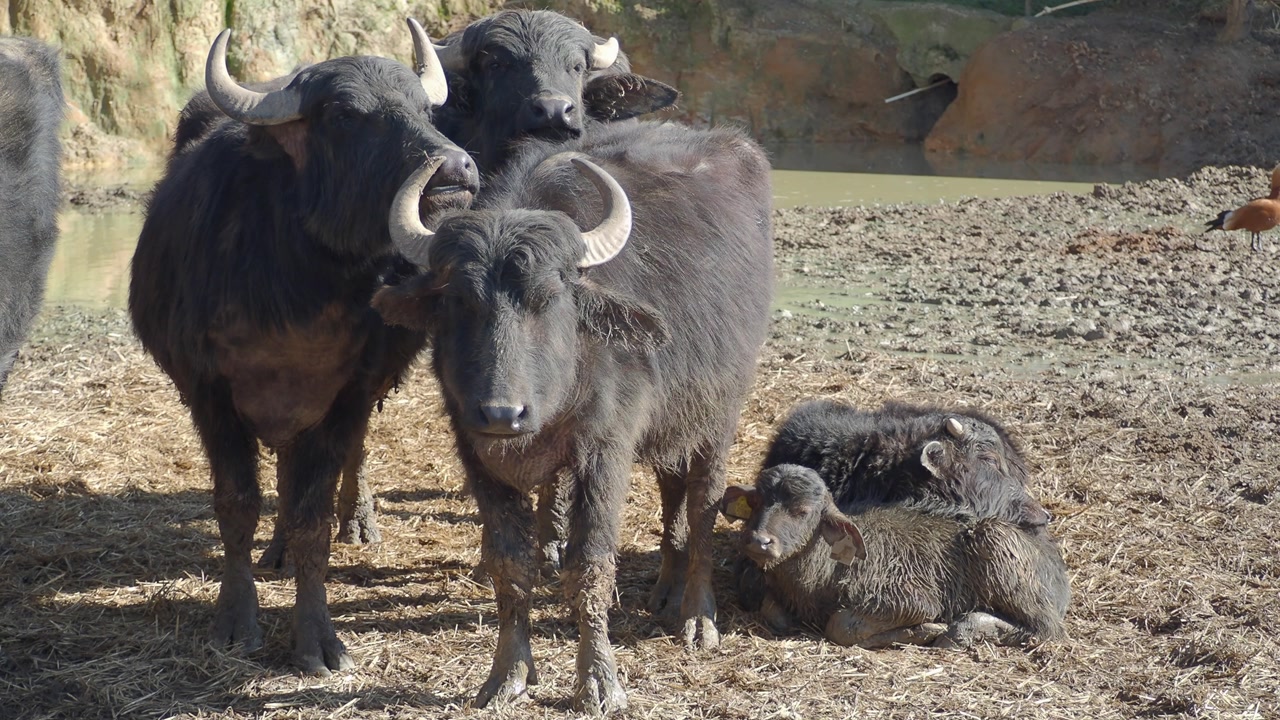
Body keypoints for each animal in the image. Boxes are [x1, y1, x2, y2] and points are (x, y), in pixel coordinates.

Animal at [127, 20, 478, 675]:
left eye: (424, 110)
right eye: (345, 114)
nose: (454, 169)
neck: (293, 291)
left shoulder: (345, 396)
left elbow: (313, 515)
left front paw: (317, 637)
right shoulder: (209, 394)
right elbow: (237, 504)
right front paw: (235, 621)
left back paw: (352, 524)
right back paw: (278, 551)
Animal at [371, 120, 775, 714]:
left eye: (547, 299)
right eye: (460, 300)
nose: (502, 412)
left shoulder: (605, 450)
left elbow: (591, 565)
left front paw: (599, 681)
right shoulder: (479, 456)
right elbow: (510, 563)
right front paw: (508, 673)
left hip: (718, 413)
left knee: (702, 500)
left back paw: (697, 616)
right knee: (671, 489)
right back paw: (666, 586)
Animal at [721, 464, 1070, 648]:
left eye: (803, 511)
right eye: (756, 502)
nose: (759, 541)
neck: (826, 571)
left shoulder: (911, 599)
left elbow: (840, 625)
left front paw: (925, 630)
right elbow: (773, 610)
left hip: (997, 542)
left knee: (1046, 628)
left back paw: (964, 628)